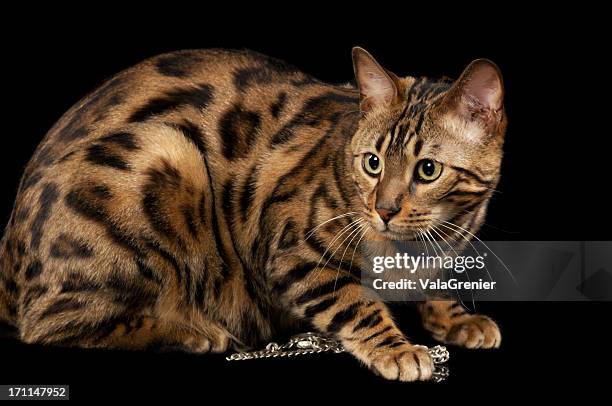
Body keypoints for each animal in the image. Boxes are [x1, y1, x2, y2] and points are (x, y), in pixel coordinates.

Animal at [2, 47, 504, 380]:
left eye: (427, 170)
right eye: (373, 163)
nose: (382, 209)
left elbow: (437, 286)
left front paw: (458, 319)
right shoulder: (287, 249)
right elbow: (353, 303)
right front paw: (396, 349)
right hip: (164, 154)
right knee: (52, 323)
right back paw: (192, 332)